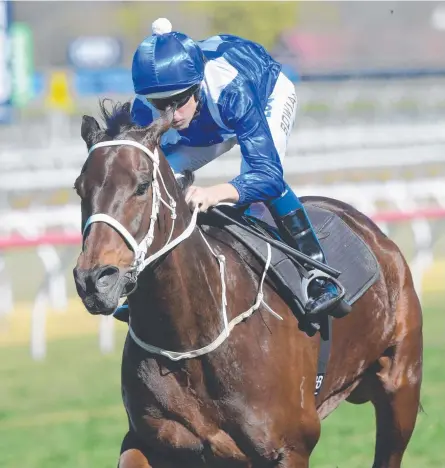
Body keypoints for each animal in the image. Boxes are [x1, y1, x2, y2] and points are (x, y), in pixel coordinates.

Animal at [73, 100, 424, 466]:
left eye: (142, 186)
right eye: (79, 188)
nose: (94, 280)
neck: (190, 341)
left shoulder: (289, 447)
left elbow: (267, 170)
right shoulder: (148, 441)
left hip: (401, 389)